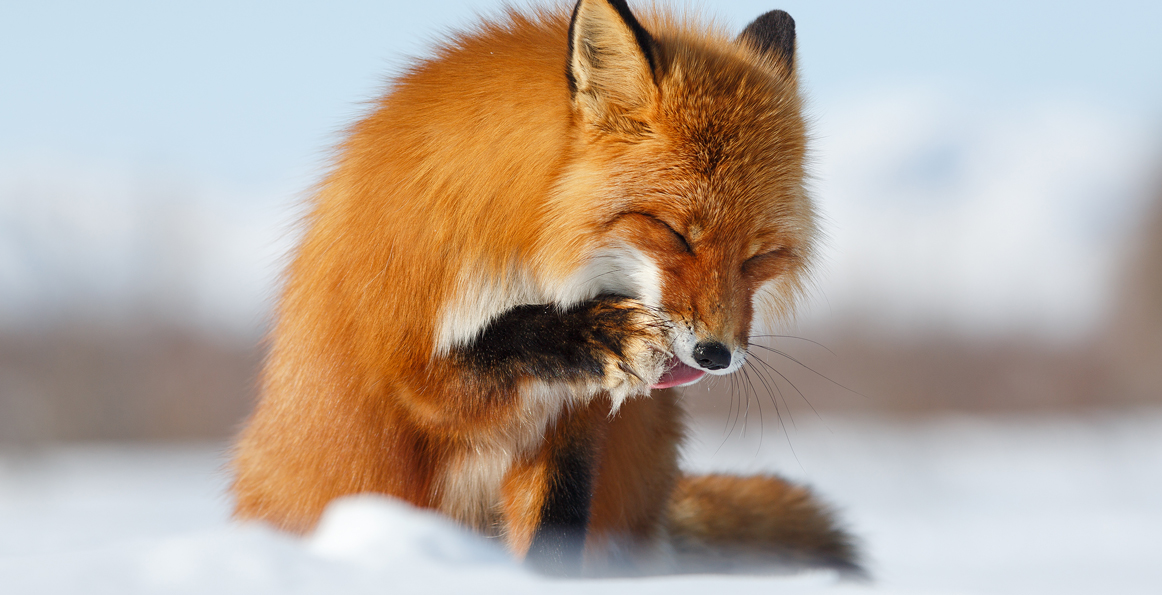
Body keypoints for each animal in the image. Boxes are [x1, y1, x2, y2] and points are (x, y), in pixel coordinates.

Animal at [231, 0, 860, 577]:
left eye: (759, 257)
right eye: (675, 233)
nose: (716, 354)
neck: (530, 252)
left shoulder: (571, 424)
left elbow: (553, 528)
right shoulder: (407, 365)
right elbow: (491, 347)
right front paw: (586, 332)